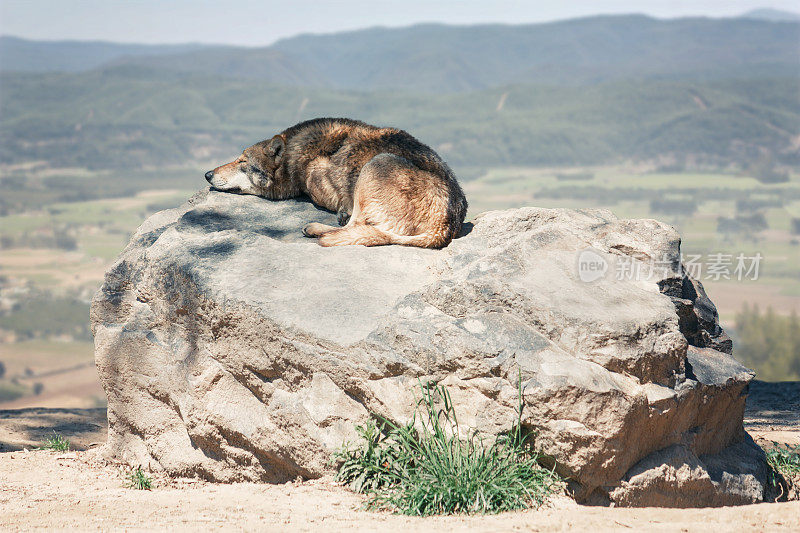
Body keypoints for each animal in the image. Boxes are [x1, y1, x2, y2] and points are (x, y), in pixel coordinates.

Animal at [205, 117, 468, 246]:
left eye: (242, 161)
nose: (207, 174)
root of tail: (444, 227)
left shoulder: (315, 174)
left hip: (377, 163)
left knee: (355, 227)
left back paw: (315, 229)